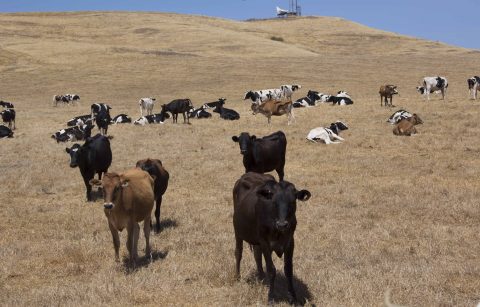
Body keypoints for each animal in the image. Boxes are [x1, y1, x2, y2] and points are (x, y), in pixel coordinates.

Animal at [232, 173, 312, 306]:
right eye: (274, 202)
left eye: (292, 201)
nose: (282, 224)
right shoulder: (265, 242)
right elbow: (271, 270)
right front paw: (271, 298)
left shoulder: (290, 242)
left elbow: (288, 269)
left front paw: (293, 299)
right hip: (238, 231)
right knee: (238, 252)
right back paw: (237, 277)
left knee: (257, 255)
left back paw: (261, 277)